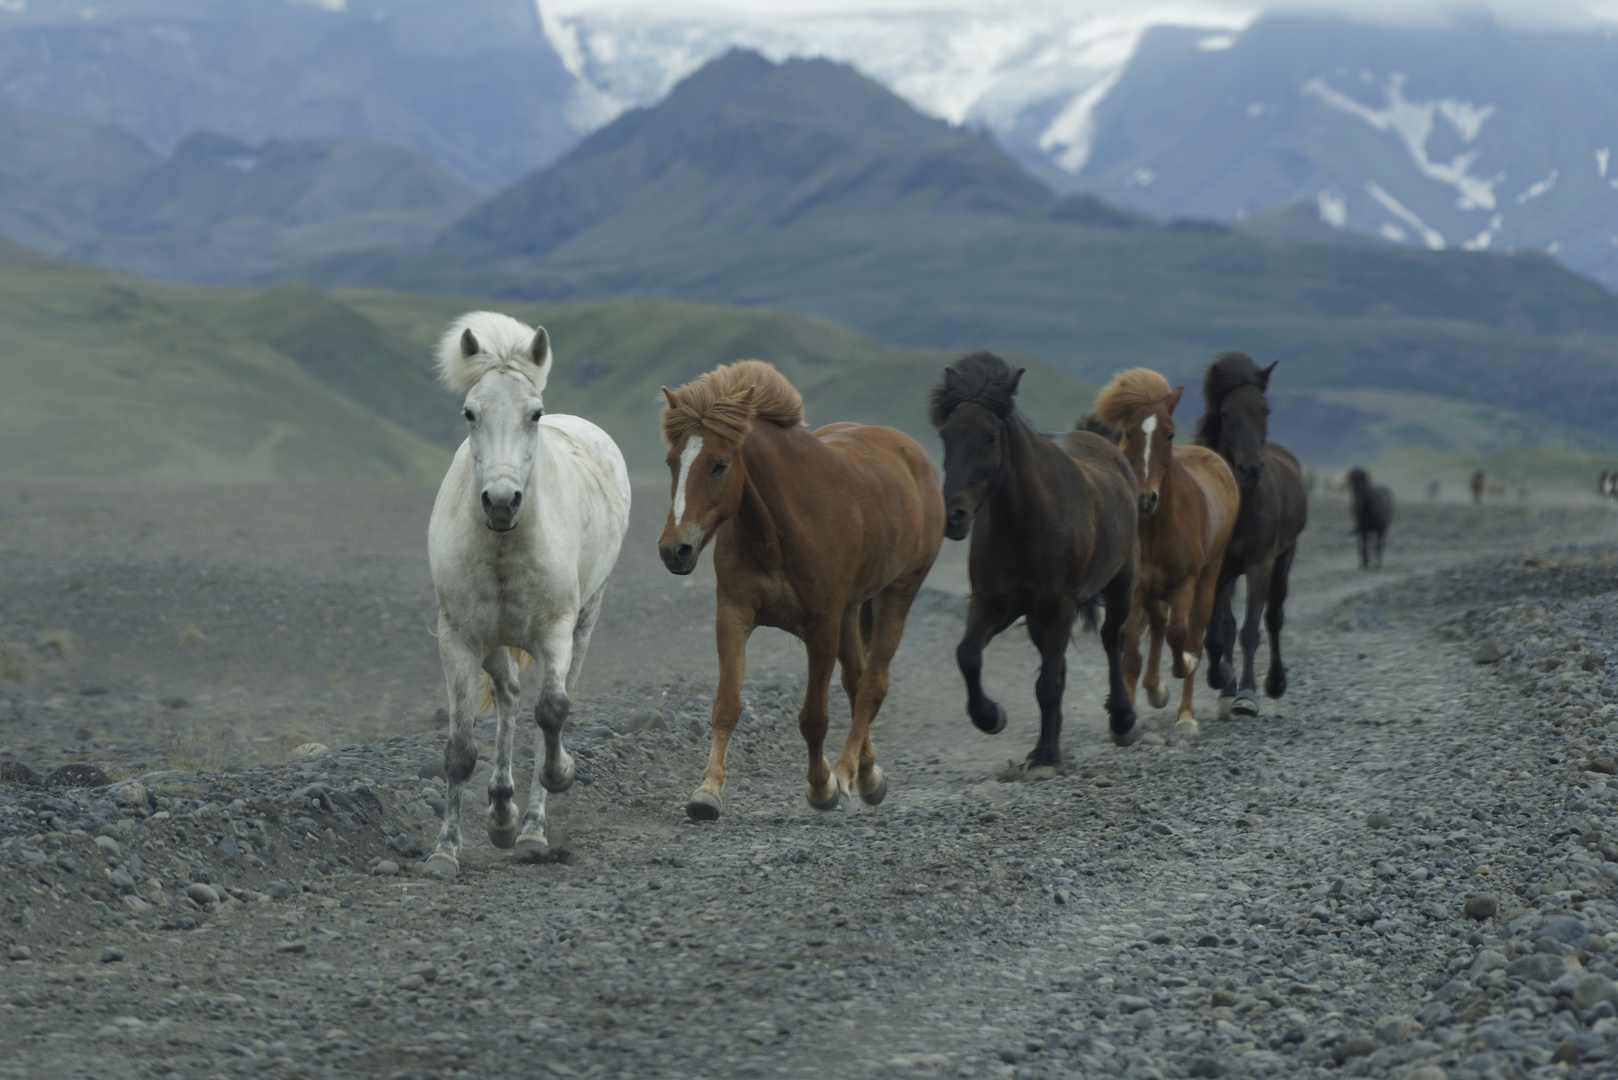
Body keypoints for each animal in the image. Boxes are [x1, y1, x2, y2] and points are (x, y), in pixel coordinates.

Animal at [420, 310, 627, 880]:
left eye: (534, 414)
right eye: (470, 412)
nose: (501, 500)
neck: (502, 547)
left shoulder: (555, 629)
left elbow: (553, 712)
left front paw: (560, 778)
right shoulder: (459, 640)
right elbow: (460, 748)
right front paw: (446, 849)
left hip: (584, 624)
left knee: (549, 703)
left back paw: (531, 827)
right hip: (494, 641)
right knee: (510, 695)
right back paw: (501, 813)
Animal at [653, 361, 944, 819]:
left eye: (719, 464)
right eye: (671, 462)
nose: (673, 550)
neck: (779, 528)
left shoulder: (821, 626)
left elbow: (813, 718)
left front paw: (823, 786)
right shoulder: (733, 614)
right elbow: (726, 705)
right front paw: (706, 792)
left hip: (898, 593)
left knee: (872, 685)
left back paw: (846, 773)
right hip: (850, 612)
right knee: (856, 681)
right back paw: (869, 775)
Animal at [931, 351, 1145, 764]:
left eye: (990, 436)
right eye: (946, 434)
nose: (953, 516)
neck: (1026, 524)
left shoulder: (1060, 604)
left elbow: (1047, 683)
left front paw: (1045, 754)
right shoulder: (993, 603)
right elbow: (968, 655)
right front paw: (990, 716)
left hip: (1121, 583)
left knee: (1112, 639)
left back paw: (1122, 720)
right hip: (1036, 617)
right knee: (1057, 662)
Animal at [1100, 367, 1236, 738]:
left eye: (1170, 434)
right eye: (1128, 432)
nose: (1146, 499)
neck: (1155, 529)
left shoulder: (1184, 583)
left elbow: (1181, 637)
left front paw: (1184, 670)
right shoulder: (1135, 589)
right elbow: (1131, 654)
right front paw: (1128, 718)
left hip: (1208, 579)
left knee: (1193, 631)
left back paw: (1186, 713)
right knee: (1159, 625)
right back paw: (1155, 690)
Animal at [1197, 354, 1307, 722]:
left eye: (1265, 410)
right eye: (1225, 413)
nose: (1250, 470)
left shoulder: (1260, 564)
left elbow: (1250, 630)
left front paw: (1247, 695)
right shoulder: (1217, 569)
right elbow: (1218, 633)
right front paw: (1221, 680)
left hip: (1284, 558)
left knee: (1274, 618)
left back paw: (1274, 682)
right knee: (1229, 625)